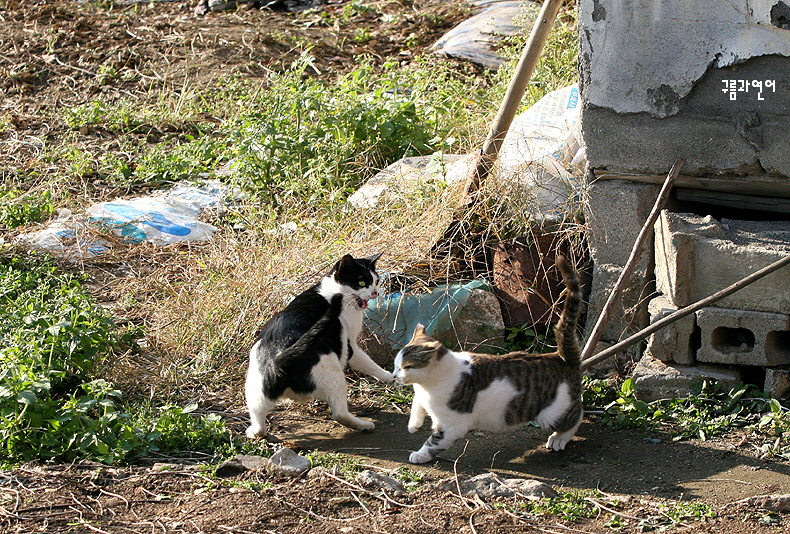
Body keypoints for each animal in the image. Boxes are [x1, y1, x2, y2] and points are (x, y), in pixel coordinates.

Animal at [246, 254, 394, 440]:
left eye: (376, 281)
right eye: (361, 282)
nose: (375, 292)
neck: (336, 291)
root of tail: (280, 359)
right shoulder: (351, 346)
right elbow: (369, 363)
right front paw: (390, 377)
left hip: (254, 389)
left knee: (258, 419)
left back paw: (254, 431)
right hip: (333, 373)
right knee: (340, 414)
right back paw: (364, 425)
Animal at [394, 255, 584, 464]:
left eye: (407, 366)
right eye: (396, 365)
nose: (394, 376)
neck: (427, 385)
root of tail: (561, 357)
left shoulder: (451, 425)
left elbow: (433, 442)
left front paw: (420, 454)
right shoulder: (422, 397)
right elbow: (417, 403)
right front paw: (414, 424)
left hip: (551, 414)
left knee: (577, 417)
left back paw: (559, 438)